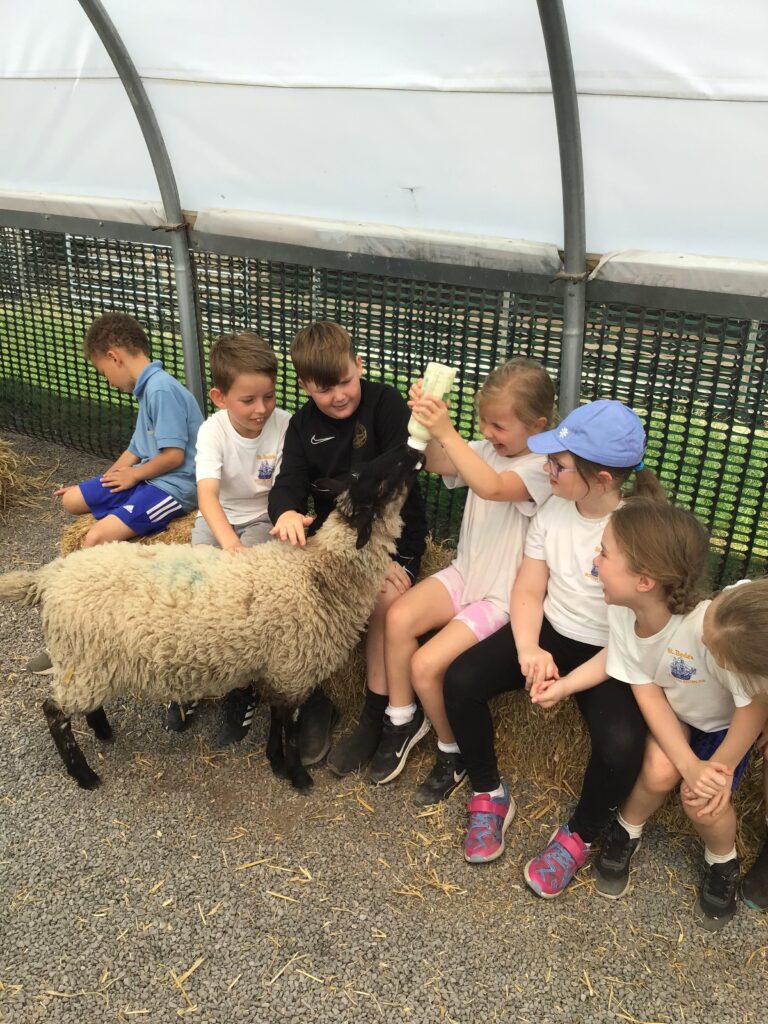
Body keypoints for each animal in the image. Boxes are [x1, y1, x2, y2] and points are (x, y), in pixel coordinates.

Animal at [0, 443, 424, 792]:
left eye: (368, 470)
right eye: (380, 479)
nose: (412, 450)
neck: (320, 571)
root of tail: (48, 578)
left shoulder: (280, 670)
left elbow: (276, 721)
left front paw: (275, 763)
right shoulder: (293, 668)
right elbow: (288, 728)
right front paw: (298, 777)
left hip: (90, 662)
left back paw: (103, 732)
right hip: (83, 659)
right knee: (53, 711)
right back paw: (85, 775)